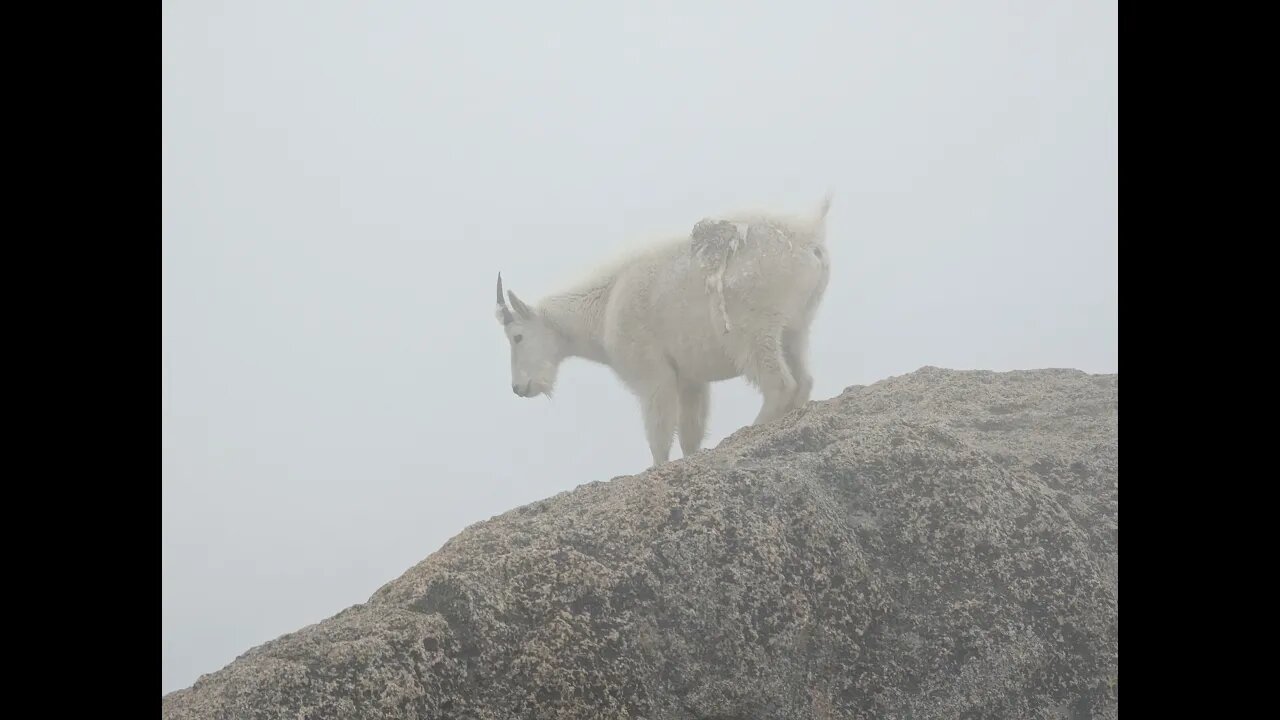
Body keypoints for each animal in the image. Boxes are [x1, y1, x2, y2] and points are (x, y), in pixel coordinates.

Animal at [494, 194, 834, 466]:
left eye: (517, 337)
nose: (519, 387)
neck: (602, 310)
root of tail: (810, 236)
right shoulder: (691, 379)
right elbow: (689, 434)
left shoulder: (652, 374)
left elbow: (658, 437)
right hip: (794, 326)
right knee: (802, 378)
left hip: (750, 328)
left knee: (779, 383)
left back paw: (748, 432)